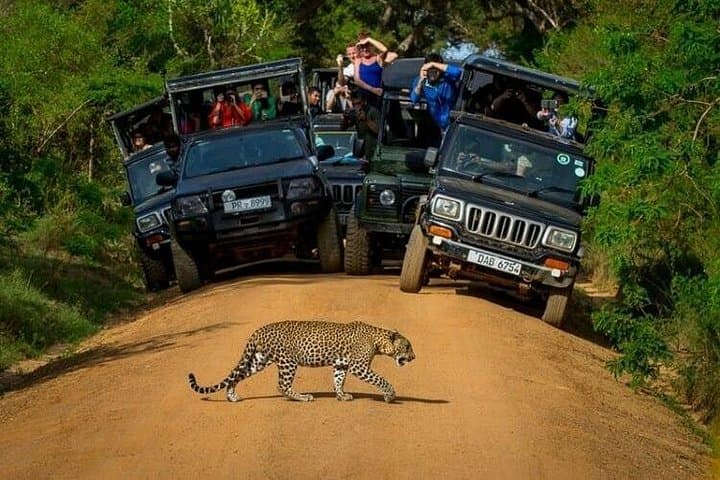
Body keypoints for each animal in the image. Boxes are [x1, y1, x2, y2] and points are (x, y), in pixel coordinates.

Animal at [188, 320, 415, 403]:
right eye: (407, 347)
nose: (414, 357)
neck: (379, 341)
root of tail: (259, 330)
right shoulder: (359, 367)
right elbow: (381, 379)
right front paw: (390, 395)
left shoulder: (341, 364)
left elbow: (338, 380)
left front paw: (342, 396)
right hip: (288, 362)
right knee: (282, 385)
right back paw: (303, 397)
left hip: (259, 360)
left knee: (237, 375)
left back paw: (232, 396)